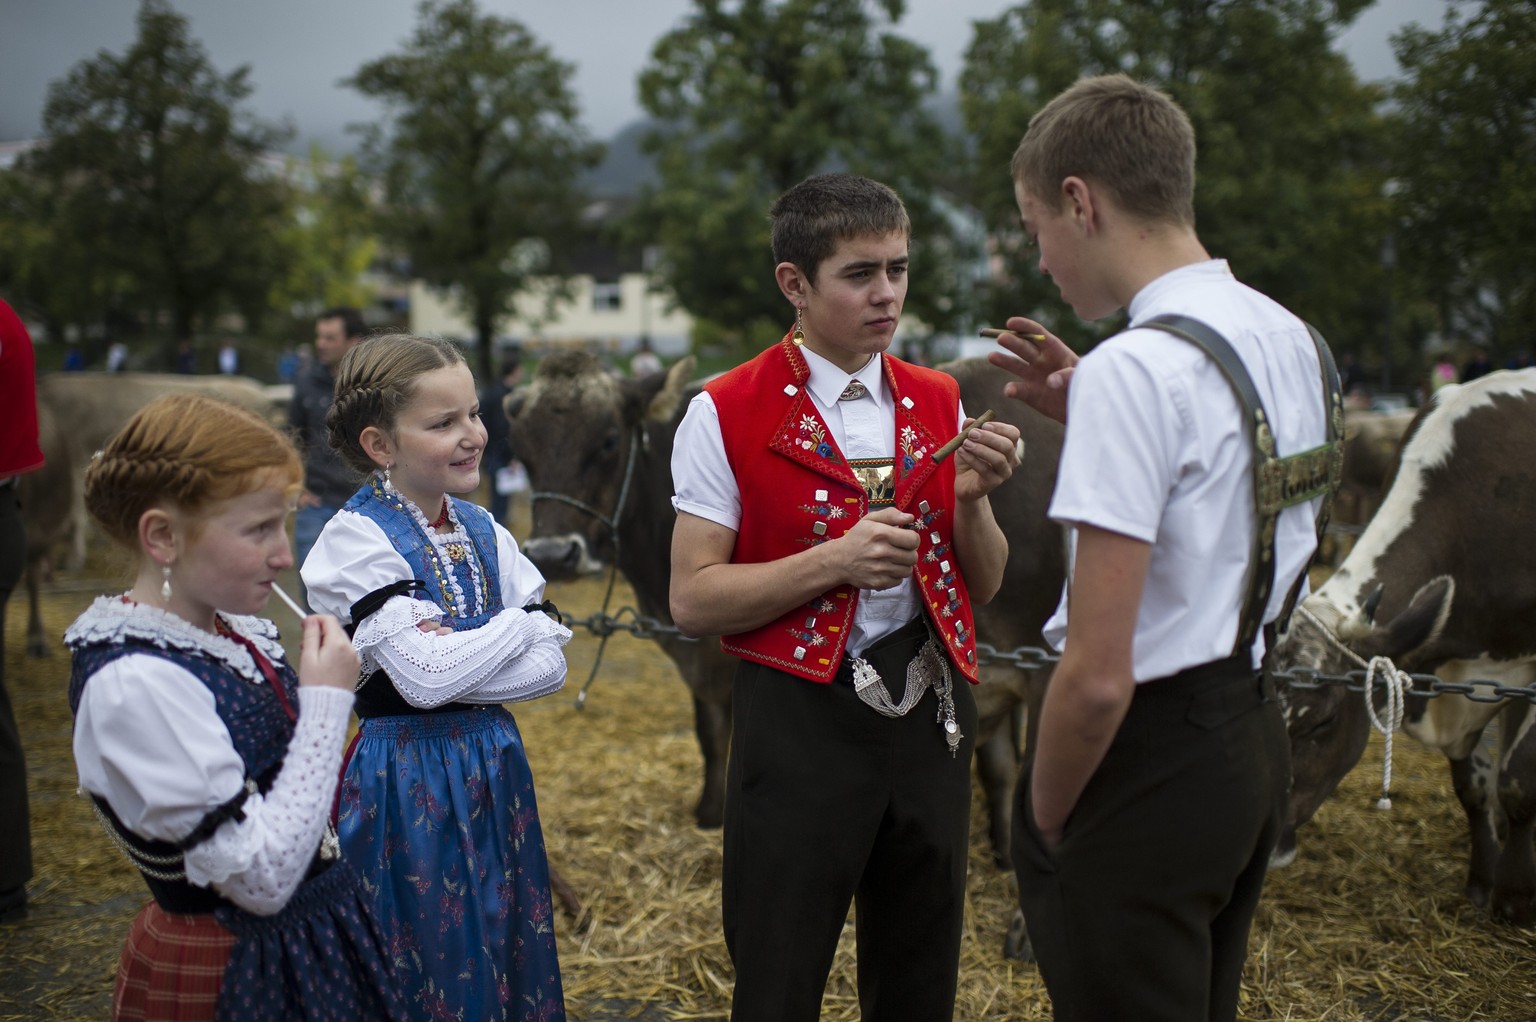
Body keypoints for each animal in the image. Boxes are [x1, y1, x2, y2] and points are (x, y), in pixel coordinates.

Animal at [1265, 367, 1536, 922]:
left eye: (1321, 721)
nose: (1267, 850)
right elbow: (1474, 786)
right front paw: (1483, 882)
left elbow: (1519, 780)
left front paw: (1516, 898)